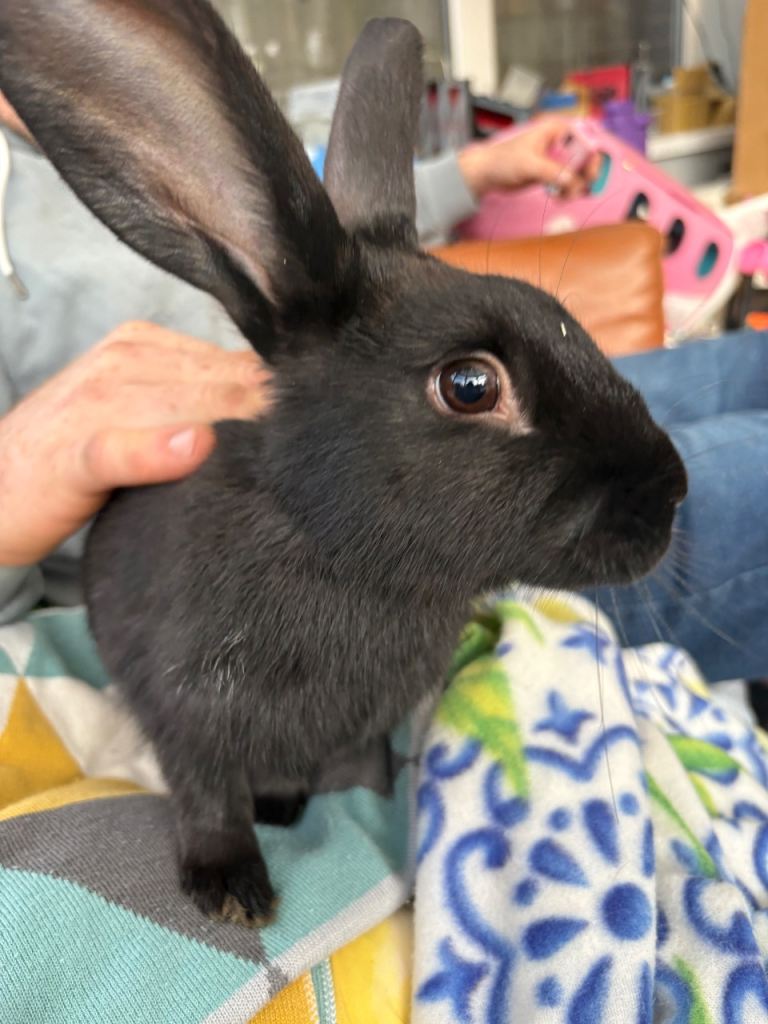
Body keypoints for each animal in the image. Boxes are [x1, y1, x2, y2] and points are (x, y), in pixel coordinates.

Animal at [0, 0, 687, 926]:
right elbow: (206, 795)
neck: (346, 560)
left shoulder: (360, 725)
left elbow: (355, 766)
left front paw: (369, 805)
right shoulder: (189, 713)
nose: (671, 492)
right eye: (470, 385)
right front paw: (231, 892)